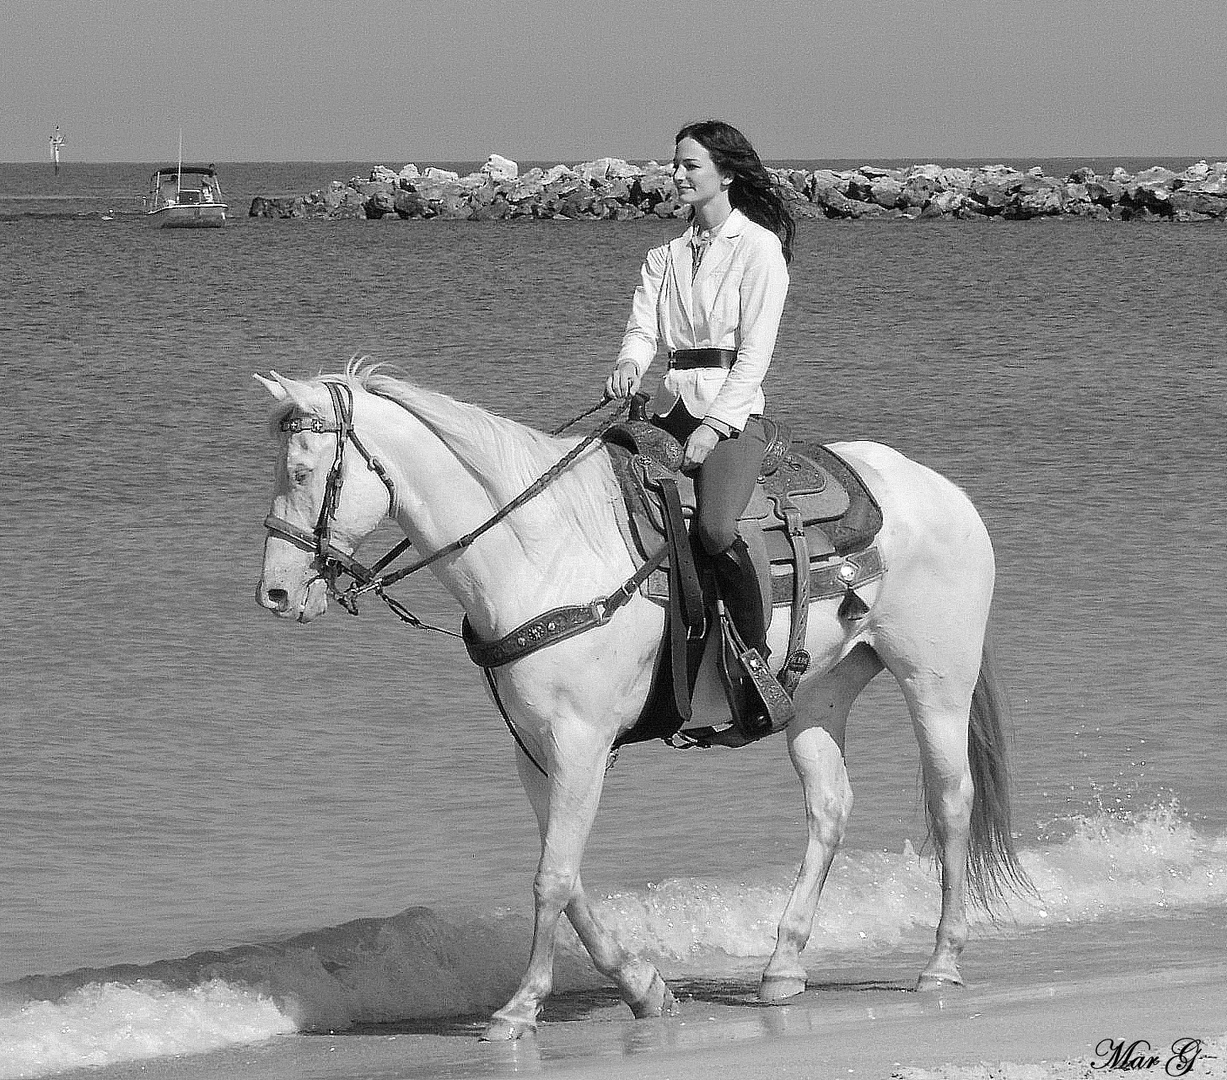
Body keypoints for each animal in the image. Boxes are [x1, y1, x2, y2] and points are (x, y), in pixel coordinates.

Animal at [253, 368, 1030, 1040]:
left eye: (302, 472)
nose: (276, 593)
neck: (540, 553)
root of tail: (942, 490)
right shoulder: (537, 750)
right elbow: (566, 877)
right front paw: (641, 987)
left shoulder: (580, 740)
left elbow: (551, 879)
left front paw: (519, 1009)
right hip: (818, 696)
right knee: (829, 809)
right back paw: (781, 967)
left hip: (934, 682)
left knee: (950, 801)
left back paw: (941, 964)